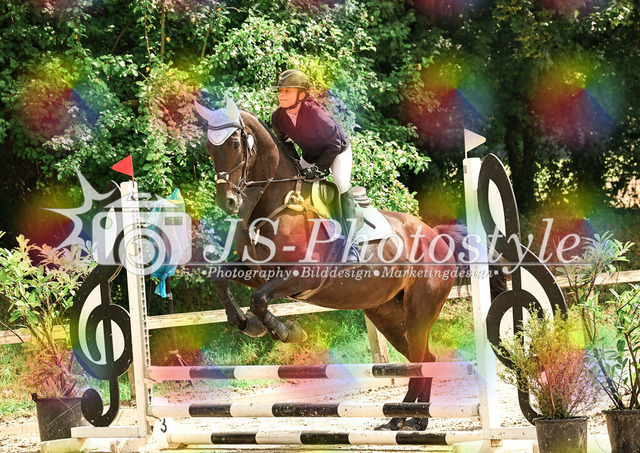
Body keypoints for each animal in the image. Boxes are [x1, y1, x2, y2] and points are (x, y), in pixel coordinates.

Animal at [195, 99, 497, 431]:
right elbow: (222, 278)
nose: (228, 203)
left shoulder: (305, 277)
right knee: (424, 358)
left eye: (235, 144)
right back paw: (404, 419)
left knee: (422, 358)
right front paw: (245, 323)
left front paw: (285, 332)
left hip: (419, 311)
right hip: (388, 315)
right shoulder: (257, 273)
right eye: (209, 148)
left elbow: (259, 299)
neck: (274, 204)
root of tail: (436, 236)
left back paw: (411, 420)